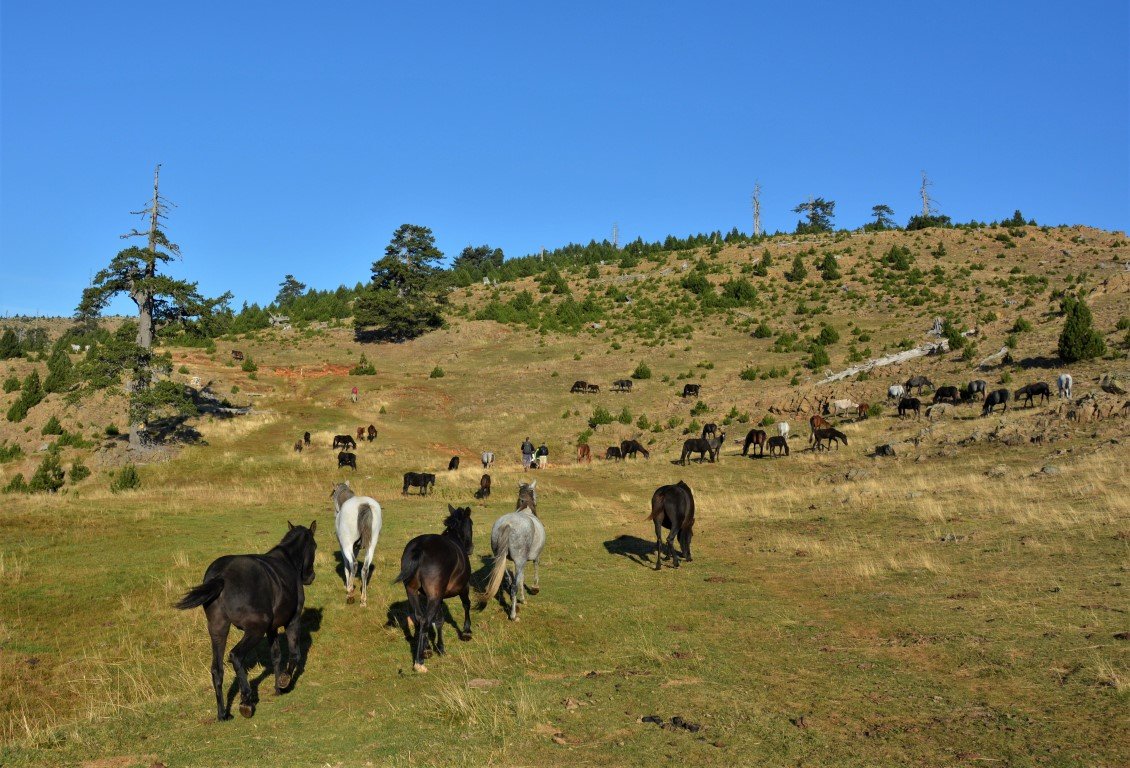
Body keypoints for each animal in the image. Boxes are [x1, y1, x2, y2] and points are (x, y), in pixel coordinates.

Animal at [176, 519, 318, 722]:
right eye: (314, 546)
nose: (310, 577)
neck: (287, 560)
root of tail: (222, 576)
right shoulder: (292, 621)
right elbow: (294, 654)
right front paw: (284, 681)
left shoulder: (272, 628)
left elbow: (276, 655)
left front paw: (277, 688)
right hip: (255, 631)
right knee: (235, 655)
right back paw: (246, 700)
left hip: (218, 630)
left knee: (217, 669)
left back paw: (223, 714)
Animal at [395, 503, 474, 673]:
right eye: (471, 523)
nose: (470, 548)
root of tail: (420, 548)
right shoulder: (463, 587)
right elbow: (466, 605)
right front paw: (466, 632)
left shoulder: (439, 596)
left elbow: (439, 620)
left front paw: (440, 647)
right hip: (434, 596)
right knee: (425, 620)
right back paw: (419, 661)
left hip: (413, 592)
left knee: (419, 618)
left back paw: (425, 649)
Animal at [479, 483, 544, 618]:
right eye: (535, 493)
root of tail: (507, 524)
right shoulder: (535, 557)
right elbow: (535, 569)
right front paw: (535, 588)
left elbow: (521, 579)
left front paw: (523, 599)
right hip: (518, 561)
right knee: (513, 586)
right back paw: (513, 614)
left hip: (503, 560)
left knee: (510, 582)